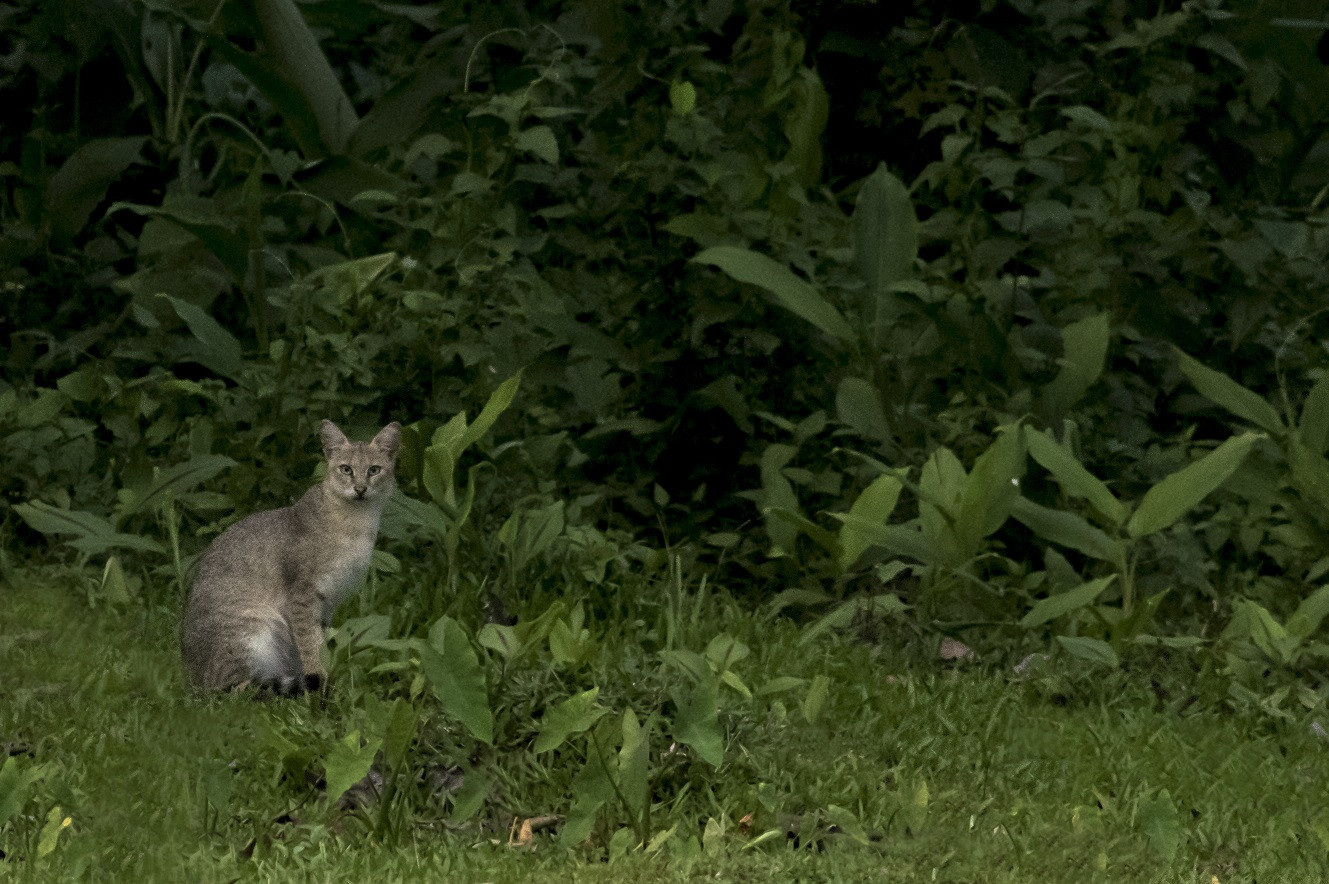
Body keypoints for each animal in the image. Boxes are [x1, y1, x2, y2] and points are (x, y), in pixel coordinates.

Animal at [180, 420, 398, 696]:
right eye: (346, 469)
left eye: (374, 470)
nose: (360, 489)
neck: (356, 524)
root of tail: (192, 680)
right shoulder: (302, 597)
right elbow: (311, 645)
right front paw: (321, 683)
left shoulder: (327, 602)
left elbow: (318, 644)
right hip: (254, 630)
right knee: (237, 689)